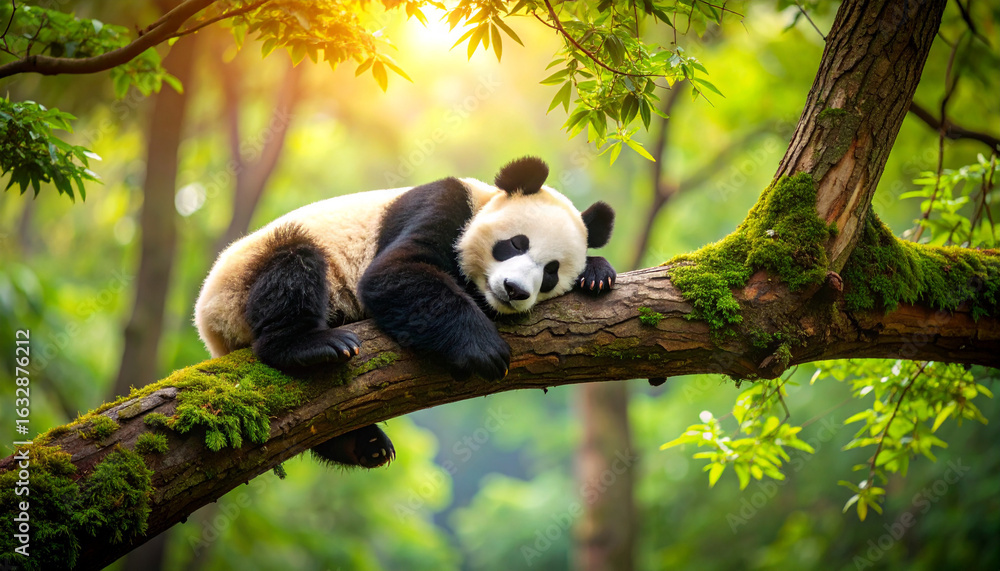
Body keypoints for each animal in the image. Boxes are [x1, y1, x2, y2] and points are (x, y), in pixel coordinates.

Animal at [194, 156, 616, 468]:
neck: (481, 200)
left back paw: (363, 444)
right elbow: (393, 274)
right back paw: (313, 345)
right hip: (241, 283)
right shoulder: (442, 204)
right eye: (515, 243)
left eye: (551, 272)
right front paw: (485, 349)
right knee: (293, 264)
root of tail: (208, 326)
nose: (514, 291)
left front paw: (597, 275)